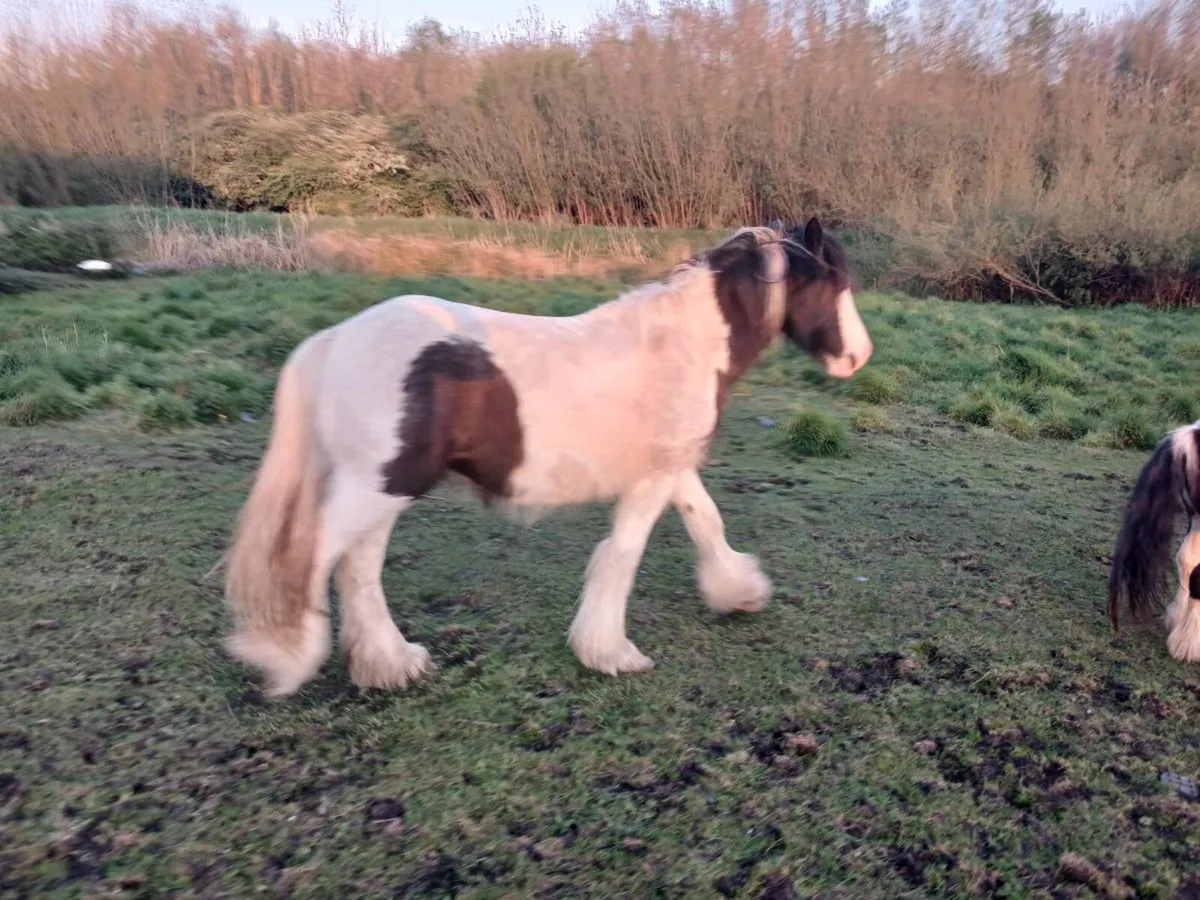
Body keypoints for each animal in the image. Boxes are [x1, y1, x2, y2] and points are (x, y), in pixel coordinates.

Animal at [222, 217, 874, 697]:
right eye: (833, 283)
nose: (858, 358)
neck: (680, 345)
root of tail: (334, 338)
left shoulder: (669, 468)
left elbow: (706, 521)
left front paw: (739, 591)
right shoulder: (652, 479)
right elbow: (623, 554)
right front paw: (609, 651)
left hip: (386, 487)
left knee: (357, 569)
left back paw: (390, 663)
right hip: (378, 485)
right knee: (314, 556)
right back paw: (290, 658)